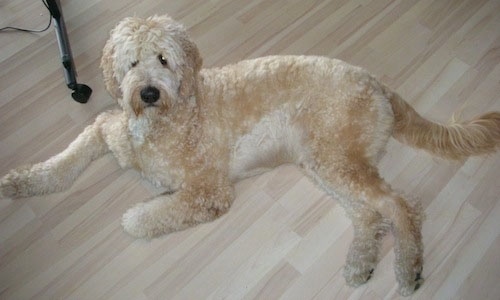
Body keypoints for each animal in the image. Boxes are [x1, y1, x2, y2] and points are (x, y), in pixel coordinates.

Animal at [0, 15, 500, 296]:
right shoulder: (105, 129)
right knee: (369, 214)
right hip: (326, 162)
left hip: (335, 158)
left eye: (163, 59)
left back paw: (409, 267)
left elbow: (142, 218)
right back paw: (361, 262)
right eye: (131, 61)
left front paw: (139, 215)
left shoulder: (210, 191)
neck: (171, 113)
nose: (147, 92)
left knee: (400, 206)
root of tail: (374, 80)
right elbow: (65, 161)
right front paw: (22, 181)